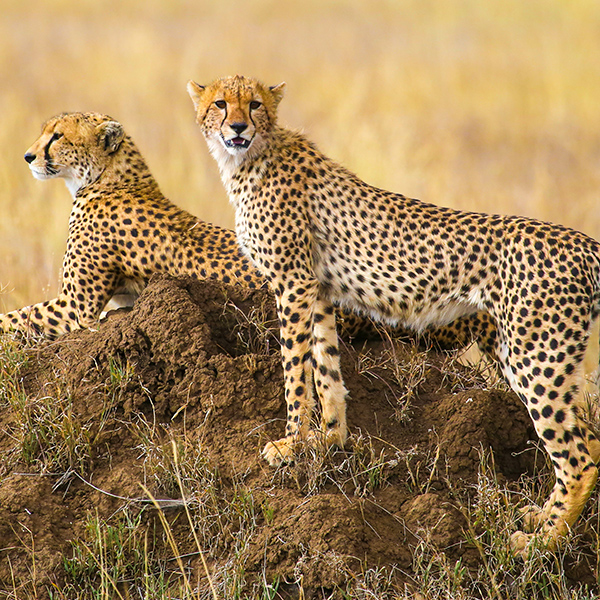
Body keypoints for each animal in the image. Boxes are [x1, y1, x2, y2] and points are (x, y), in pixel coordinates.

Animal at [190, 77, 600, 556]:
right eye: (221, 104)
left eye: (254, 105)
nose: (237, 126)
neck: (250, 157)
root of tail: (582, 242)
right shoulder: (319, 290)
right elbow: (326, 369)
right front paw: (329, 439)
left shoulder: (293, 283)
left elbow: (295, 372)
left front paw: (291, 444)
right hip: (531, 353)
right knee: (587, 440)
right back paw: (541, 520)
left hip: (535, 355)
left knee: (578, 458)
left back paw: (538, 544)